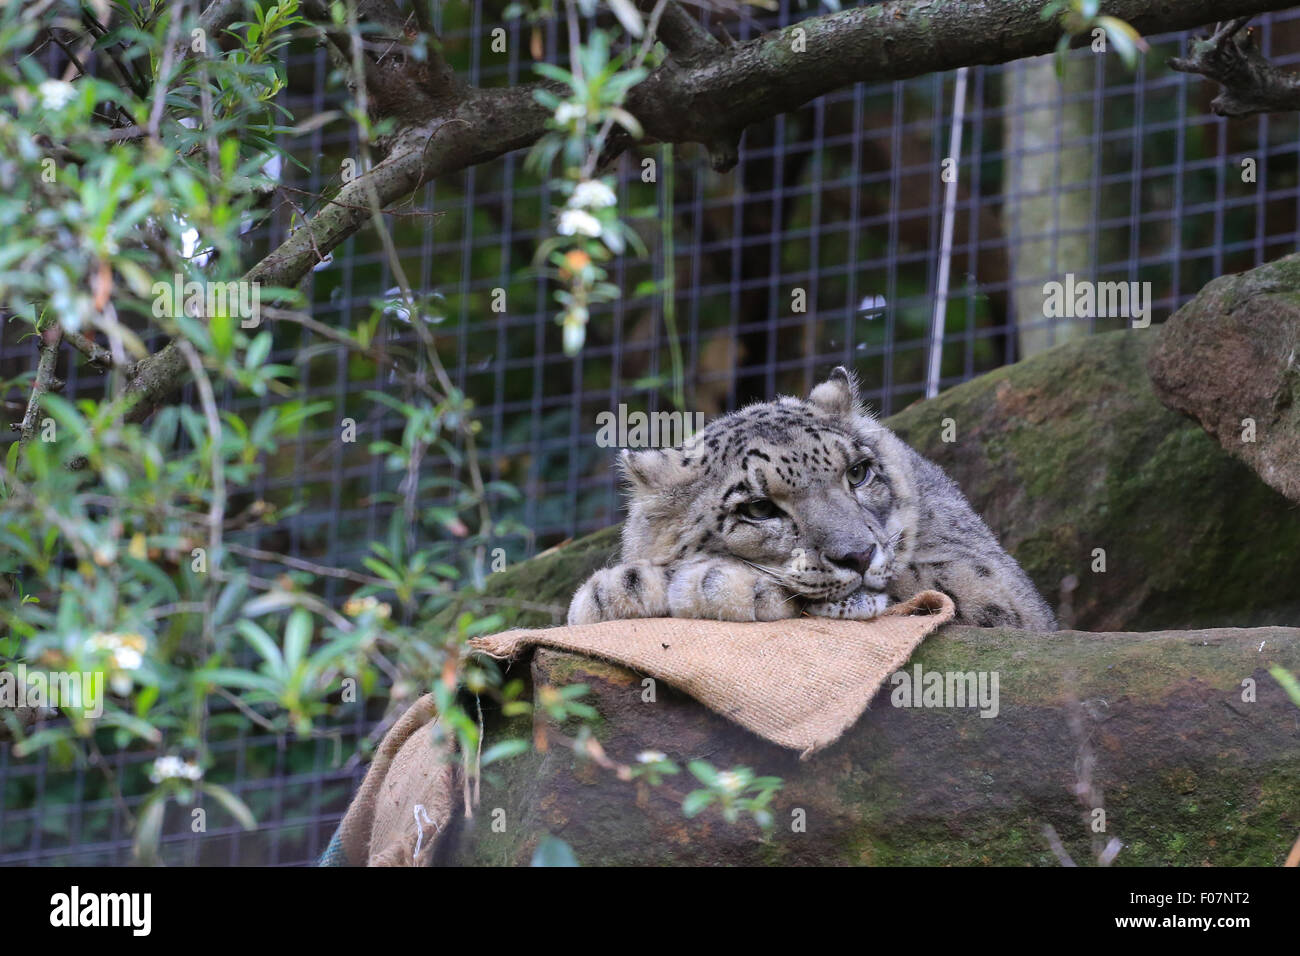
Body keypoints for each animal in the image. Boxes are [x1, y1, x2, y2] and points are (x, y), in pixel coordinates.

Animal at [567, 367, 1057, 631]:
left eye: (857, 473)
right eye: (759, 508)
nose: (858, 556)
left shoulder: (995, 582)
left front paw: (710, 582)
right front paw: (613, 592)